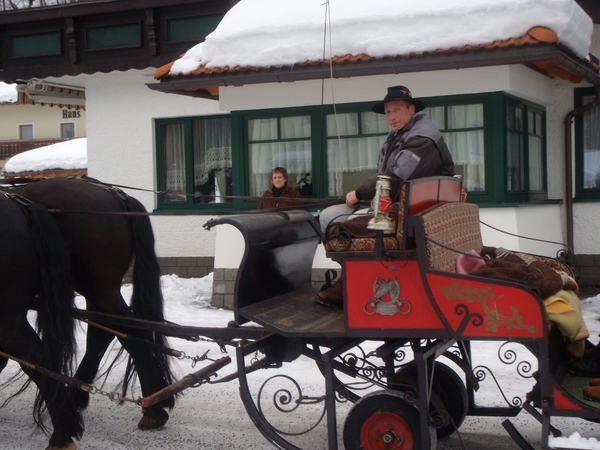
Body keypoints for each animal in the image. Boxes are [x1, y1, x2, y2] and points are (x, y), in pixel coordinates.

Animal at [14, 177, 176, 432]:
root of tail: (117, 195)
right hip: (97, 292)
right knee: (104, 332)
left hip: (99, 288)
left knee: (129, 332)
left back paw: (154, 408)